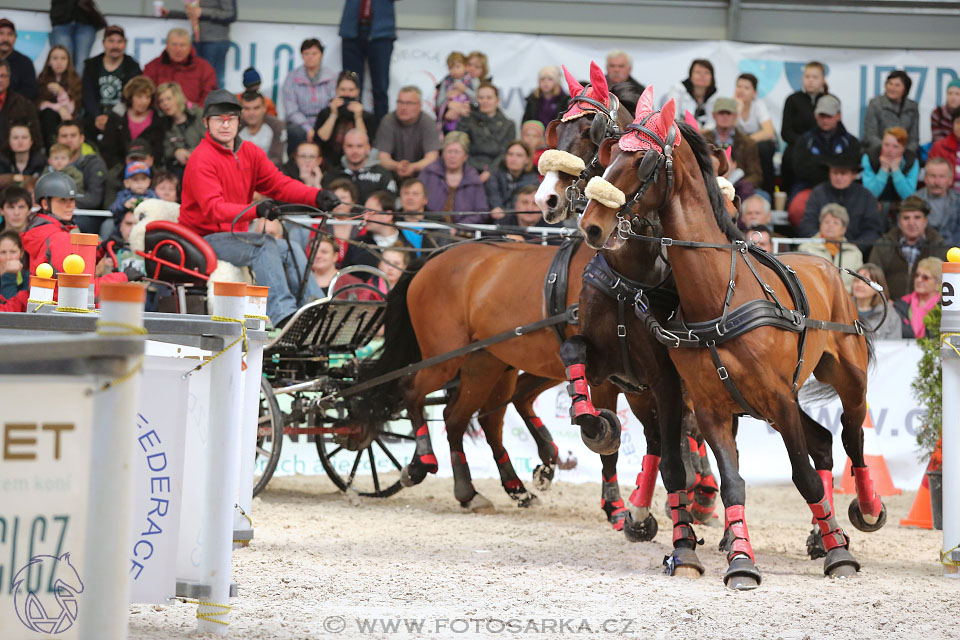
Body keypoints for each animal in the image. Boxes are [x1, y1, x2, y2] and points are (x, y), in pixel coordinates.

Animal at [576, 86, 884, 592]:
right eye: (608, 155)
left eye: (641, 162)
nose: (592, 224)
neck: (718, 292)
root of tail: (827, 264)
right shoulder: (710, 406)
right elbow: (731, 479)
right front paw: (740, 558)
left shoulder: (778, 397)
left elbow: (804, 477)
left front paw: (839, 556)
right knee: (823, 441)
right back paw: (824, 534)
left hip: (847, 378)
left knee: (853, 438)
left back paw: (863, 513)